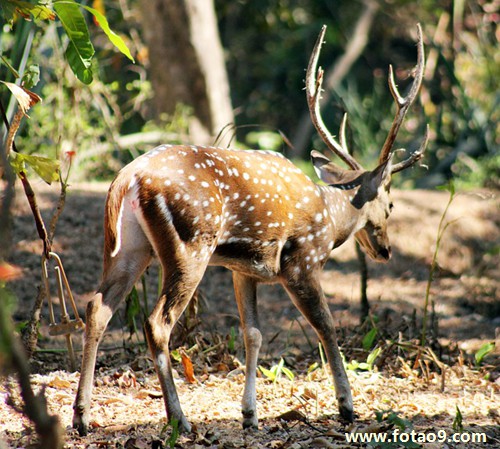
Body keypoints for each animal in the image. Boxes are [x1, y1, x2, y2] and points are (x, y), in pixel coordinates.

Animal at [72, 24, 428, 434]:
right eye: (391, 204)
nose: (385, 250)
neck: (329, 214)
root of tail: (127, 177)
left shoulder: (244, 269)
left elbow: (252, 334)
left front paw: (250, 414)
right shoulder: (302, 262)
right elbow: (326, 326)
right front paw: (346, 406)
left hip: (127, 246)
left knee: (97, 306)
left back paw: (81, 416)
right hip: (190, 244)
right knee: (157, 322)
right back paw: (179, 419)